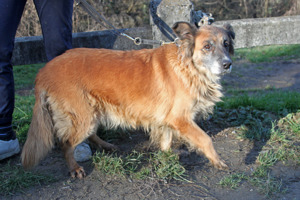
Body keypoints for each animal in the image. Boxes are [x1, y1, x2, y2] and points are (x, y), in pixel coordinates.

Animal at [22, 21, 236, 178]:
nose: (228, 64)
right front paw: (217, 161)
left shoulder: (168, 118)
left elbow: (166, 140)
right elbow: (205, 139)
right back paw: (74, 168)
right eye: (207, 46)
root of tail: (44, 71)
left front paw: (167, 155)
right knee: (66, 144)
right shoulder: (180, 118)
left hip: (92, 112)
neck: (189, 66)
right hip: (82, 116)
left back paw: (106, 146)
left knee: (90, 134)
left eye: (226, 44)